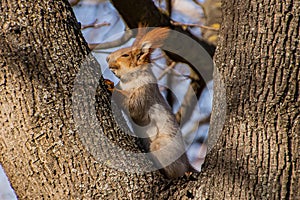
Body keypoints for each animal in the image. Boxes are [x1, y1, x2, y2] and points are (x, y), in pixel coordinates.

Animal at [105, 26, 195, 178]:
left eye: (125, 55)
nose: (107, 59)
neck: (130, 80)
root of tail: (187, 164)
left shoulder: (144, 92)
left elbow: (134, 109)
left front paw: (110, 87)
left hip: (162, 146)